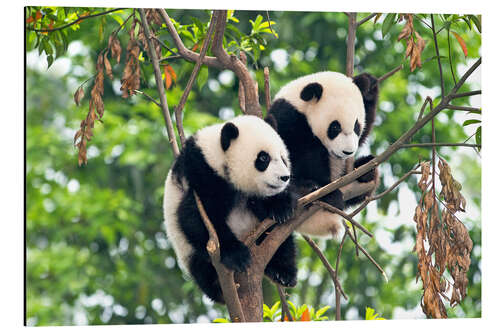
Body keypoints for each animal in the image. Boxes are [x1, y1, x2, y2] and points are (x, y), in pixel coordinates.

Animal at [163, 115, 296, 304]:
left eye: (283, 158)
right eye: (263, 158)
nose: (285, 177)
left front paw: (281, 207)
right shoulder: (200, 173)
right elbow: (195, 217)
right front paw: (236, 254)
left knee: (282, 241)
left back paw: (282, 272)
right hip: (188, 251)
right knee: (202, 268)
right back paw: (218, 288)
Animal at [270, 70, 378, 236]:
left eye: (356, 126)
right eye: (335, 127)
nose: (347, 152)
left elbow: (364, 134)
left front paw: (369, 84)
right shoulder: (289, 118)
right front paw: (326, 191)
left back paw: (365, 170)